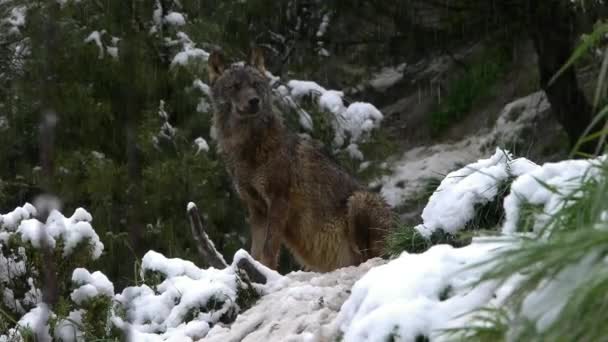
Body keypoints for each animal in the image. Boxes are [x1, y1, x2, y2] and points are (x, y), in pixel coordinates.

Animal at [207, 48, 392, 272]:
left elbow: (269, 250)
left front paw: (268, 272)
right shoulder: (256, 208)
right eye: (234, 87)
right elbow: (255, 251)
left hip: (359, 201)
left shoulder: (278, 200)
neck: (247, 148)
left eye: (255, 84)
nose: (254, 101)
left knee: (372, 258)